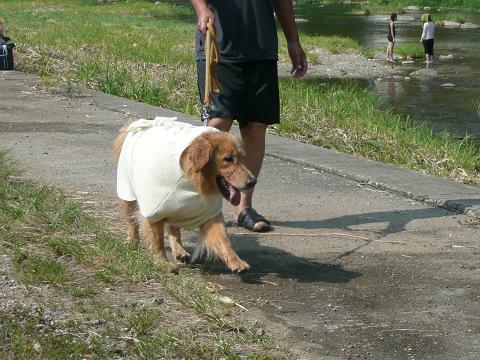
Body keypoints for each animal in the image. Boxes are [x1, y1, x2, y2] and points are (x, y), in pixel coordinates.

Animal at [113, 118, 255, 272]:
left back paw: (179, 250)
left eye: (242, 158)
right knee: (132, 221)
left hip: (174, 207)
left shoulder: (210, 215)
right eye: (228, 159)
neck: (191, 181)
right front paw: (162, 262)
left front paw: (236, 261)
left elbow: (223, 240)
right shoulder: (153, 211)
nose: (252, 181)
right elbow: (157, 241)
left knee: (173, 227)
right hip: (128, 193)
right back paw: (132, 241)